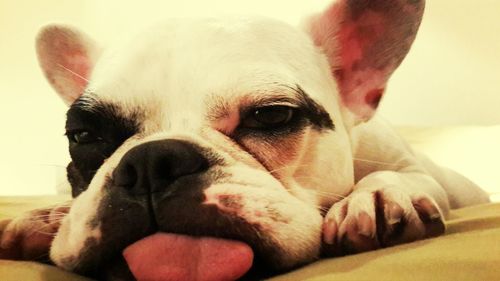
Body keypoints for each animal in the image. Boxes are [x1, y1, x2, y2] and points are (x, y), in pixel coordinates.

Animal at [0, 0, 490, 278]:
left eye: (271, 115)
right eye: (83, 135)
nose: (152, 162)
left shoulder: (414, 167)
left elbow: (407, 177)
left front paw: (376, 195)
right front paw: (43, 218)